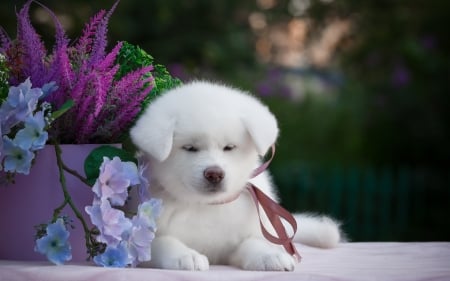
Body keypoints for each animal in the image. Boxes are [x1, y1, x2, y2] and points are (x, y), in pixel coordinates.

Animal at [130, 80, 342, 270]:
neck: (207, 206)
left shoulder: (242, 238)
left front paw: (270, 255)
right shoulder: (142, 241)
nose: (214, 174)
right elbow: (163, 242)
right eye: (190, 148)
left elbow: (252, 243)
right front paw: (186, 256)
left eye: (229, 147)